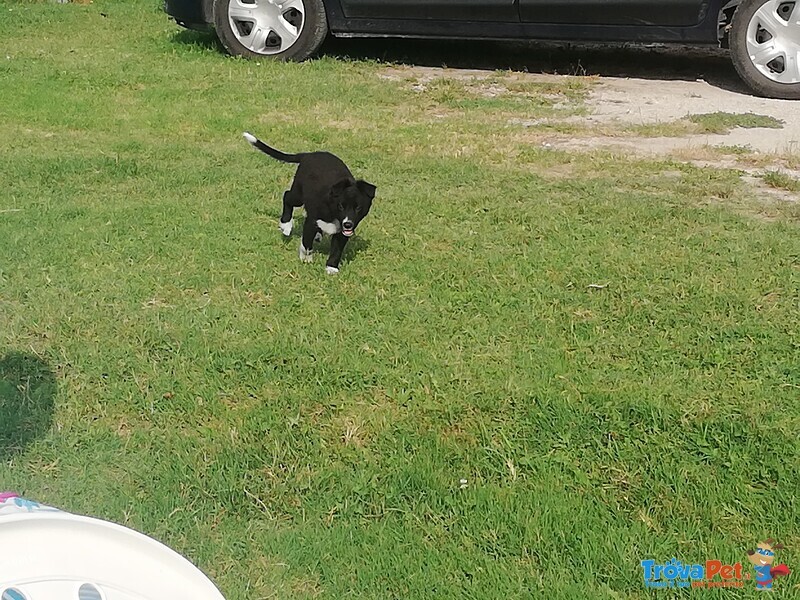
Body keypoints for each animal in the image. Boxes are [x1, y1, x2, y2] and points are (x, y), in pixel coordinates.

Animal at [242, 131, 376, 274]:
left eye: (358, 208)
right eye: (341, 206)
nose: (348, 224)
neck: (332, 208)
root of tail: (308, 155)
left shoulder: (342, 231)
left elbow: (337, 249)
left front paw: (331, 268)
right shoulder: (311, 221)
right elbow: (306, 244)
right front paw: (306, 259)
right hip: (298, 194)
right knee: (287, 196)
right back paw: (286, 225)